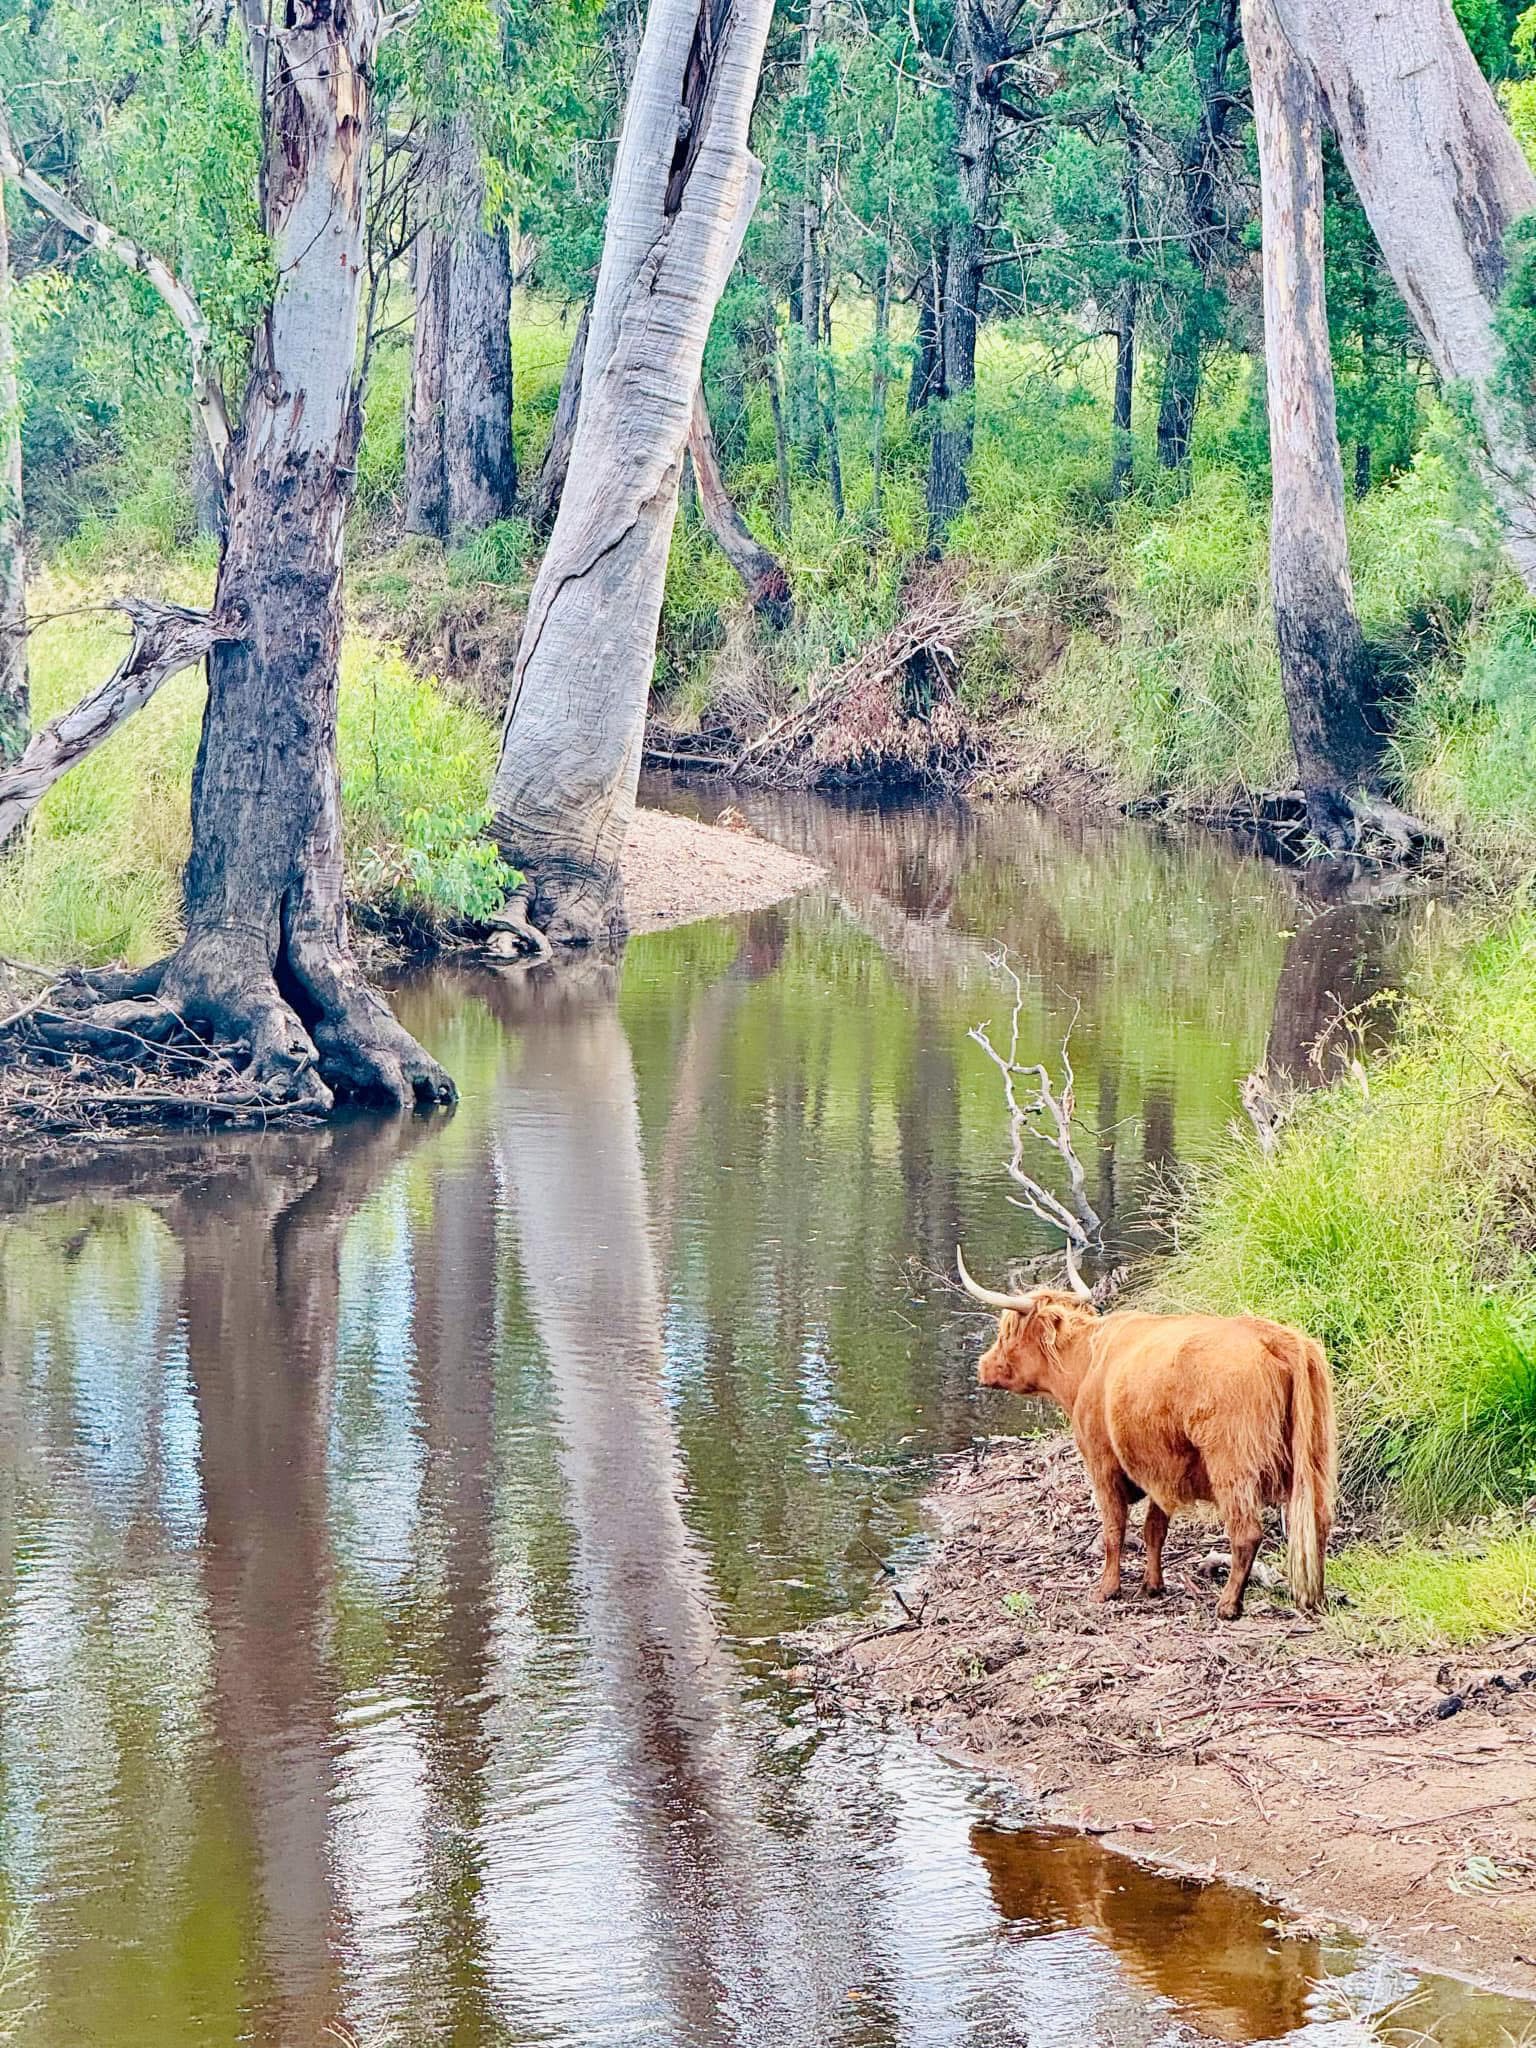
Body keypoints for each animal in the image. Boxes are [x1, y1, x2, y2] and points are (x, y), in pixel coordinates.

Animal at [957, 1249, 1337, 1620]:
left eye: (1006, 1331)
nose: (982, 1366)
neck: (1086, 1363)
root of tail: (1274, 1336)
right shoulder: (1158, 1467)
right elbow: (1154, 1529)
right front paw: (1151, 1586)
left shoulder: (1103, 1462)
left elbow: (1114, 1529)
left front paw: (1107, 1589)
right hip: (1315, 1457)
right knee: (1317, 1521)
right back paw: (1314, 1597)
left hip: (1232, 1462)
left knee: (1245, 1532)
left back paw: (1228, 1605)